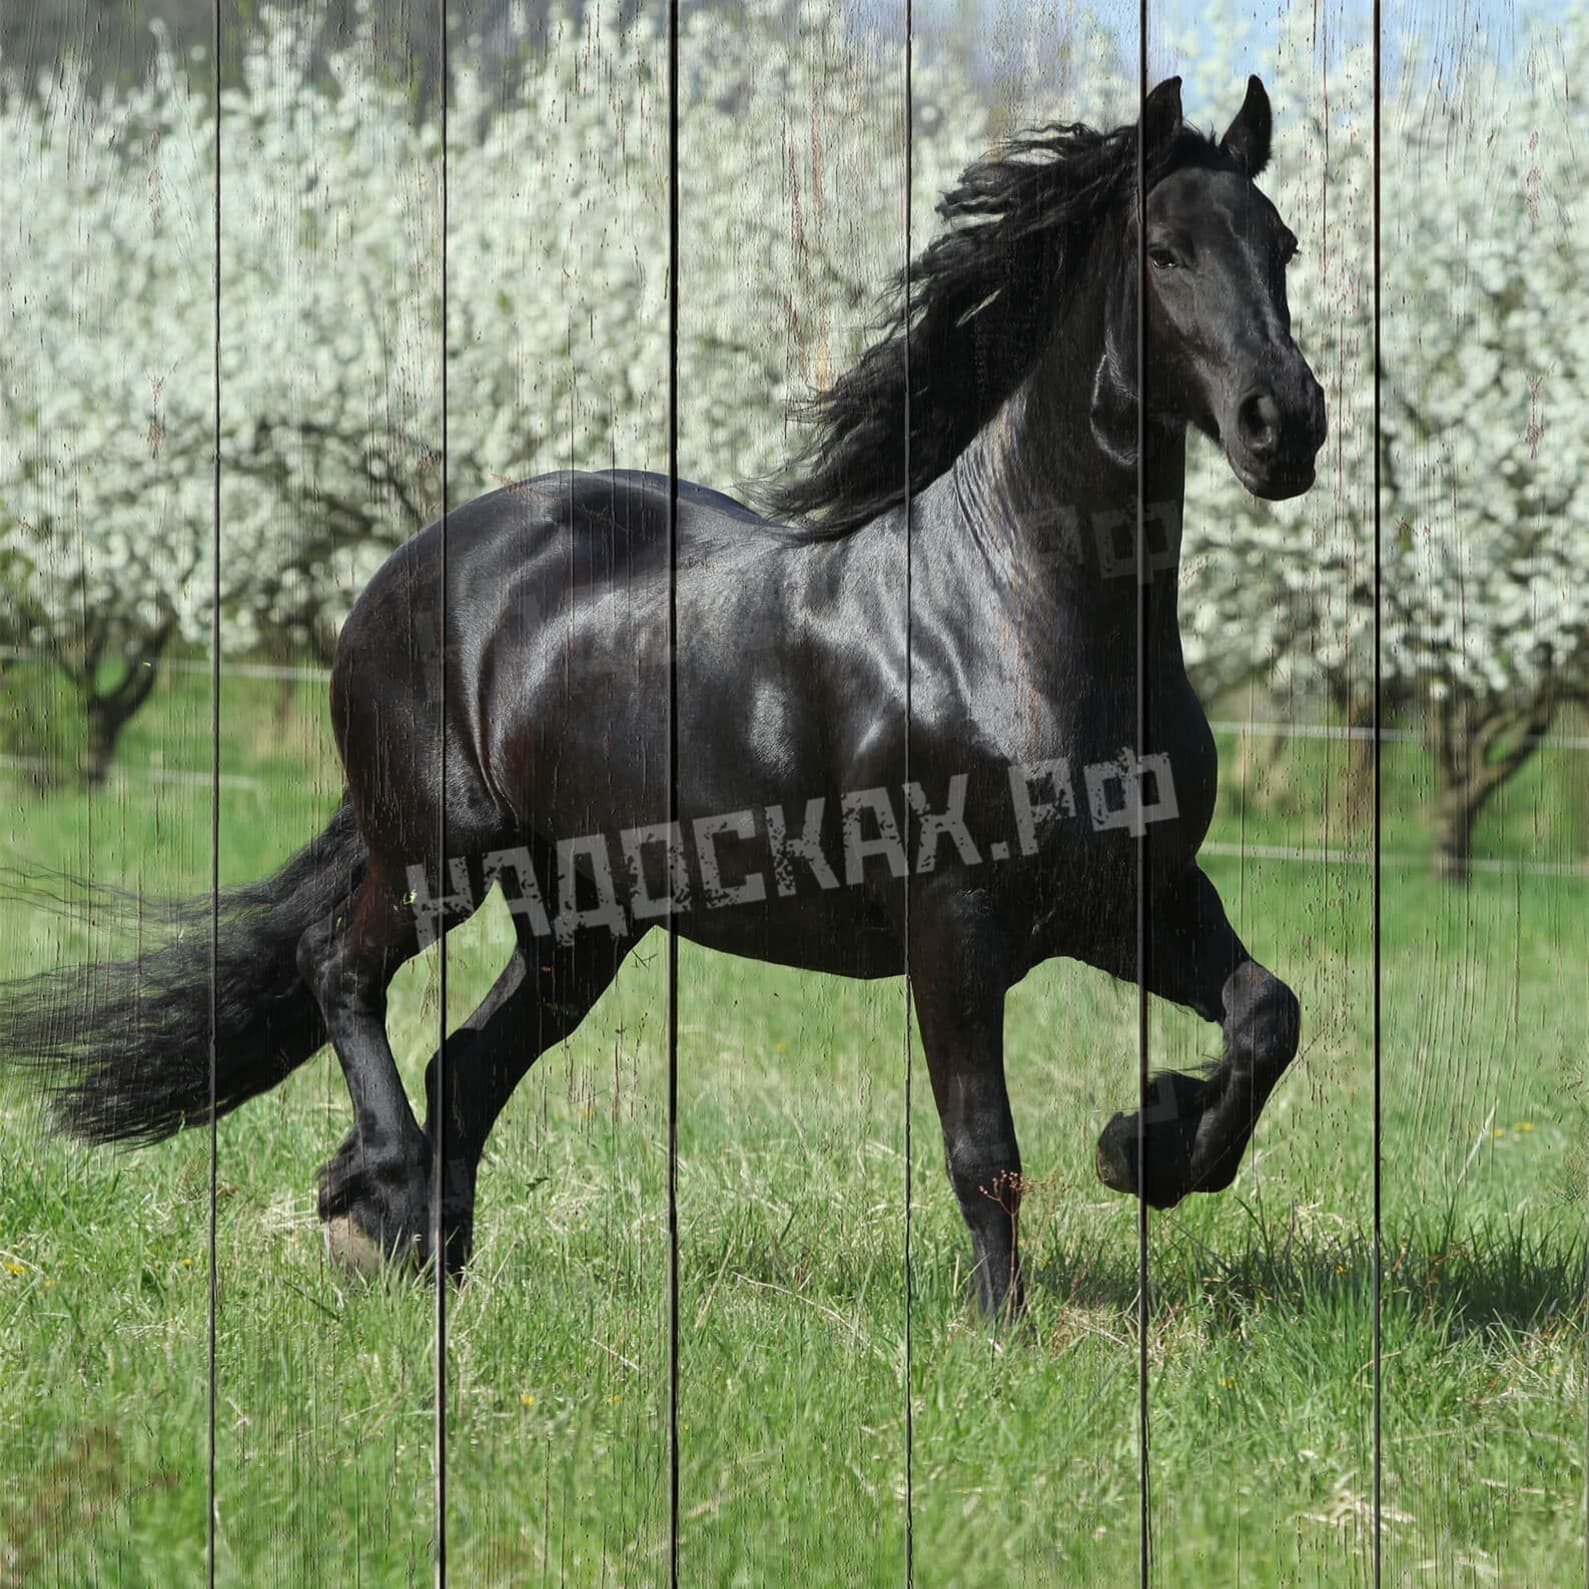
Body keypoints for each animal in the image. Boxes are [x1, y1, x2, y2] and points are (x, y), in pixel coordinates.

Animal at [1, 76, 1323, 1319]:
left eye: (1281, 242)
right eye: (1165, 251)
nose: (1284, 424)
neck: (1008, 619)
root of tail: (409, 565)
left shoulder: (1138, 894)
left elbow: (1266, 1014)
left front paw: (1147, 1143)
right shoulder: (953, 929)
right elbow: (981, 1151)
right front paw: (1003, 1329)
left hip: (581, 915)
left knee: (463, 1062)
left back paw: (421, 1248)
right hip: (438, 853)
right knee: (342, 970)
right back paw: (373, 1192)